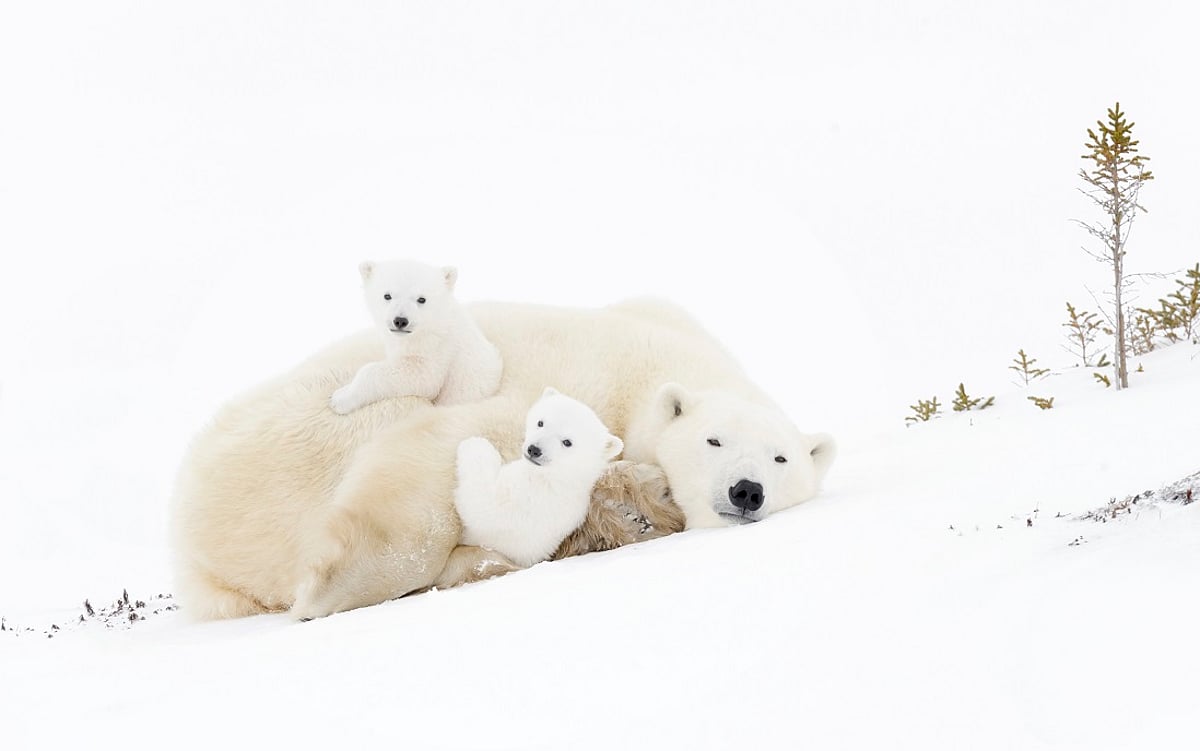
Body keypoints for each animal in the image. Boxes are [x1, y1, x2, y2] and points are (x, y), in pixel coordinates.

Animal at [329, 259, 502, 414]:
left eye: (421, 299)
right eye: (387, 296)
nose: (400, 320)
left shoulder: (438, 349)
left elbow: (423, 378)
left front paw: (339, 399)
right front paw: (342, 390)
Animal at [453, 387, 625, 569]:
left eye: (567, 442)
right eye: (541, 422)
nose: (534, 450)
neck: (557, 477)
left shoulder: (527, 500)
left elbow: (483, 505)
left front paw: (474, 444)